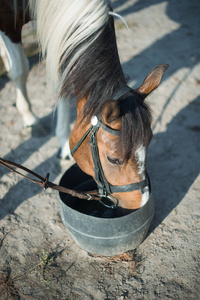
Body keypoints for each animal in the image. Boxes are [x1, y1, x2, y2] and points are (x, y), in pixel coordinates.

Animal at [0, 0, 169, 210]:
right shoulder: (7, 20)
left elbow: (63, 81)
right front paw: (30, 117)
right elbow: (20, 69)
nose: (141, 202)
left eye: (148, 144)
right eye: (113, 159)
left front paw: (63, 143)